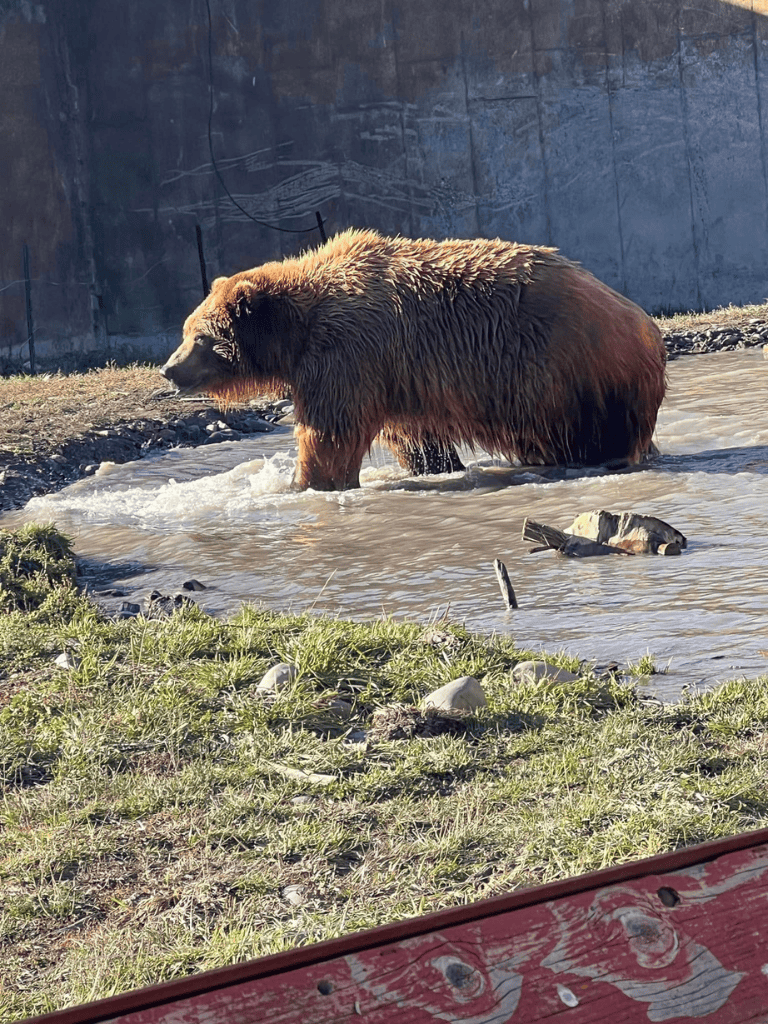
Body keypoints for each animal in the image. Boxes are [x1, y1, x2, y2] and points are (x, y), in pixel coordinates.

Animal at [160, 229, 666, 491]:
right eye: (185, 330)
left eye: (200, 336)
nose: (168, 369)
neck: (297, 330)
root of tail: (643, 321)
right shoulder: (396, 375)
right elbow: (414, 439)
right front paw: (434, 465)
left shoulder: (347, 353)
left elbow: (330, 432)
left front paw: (305, 483)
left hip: (576, 375)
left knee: (600, 434)